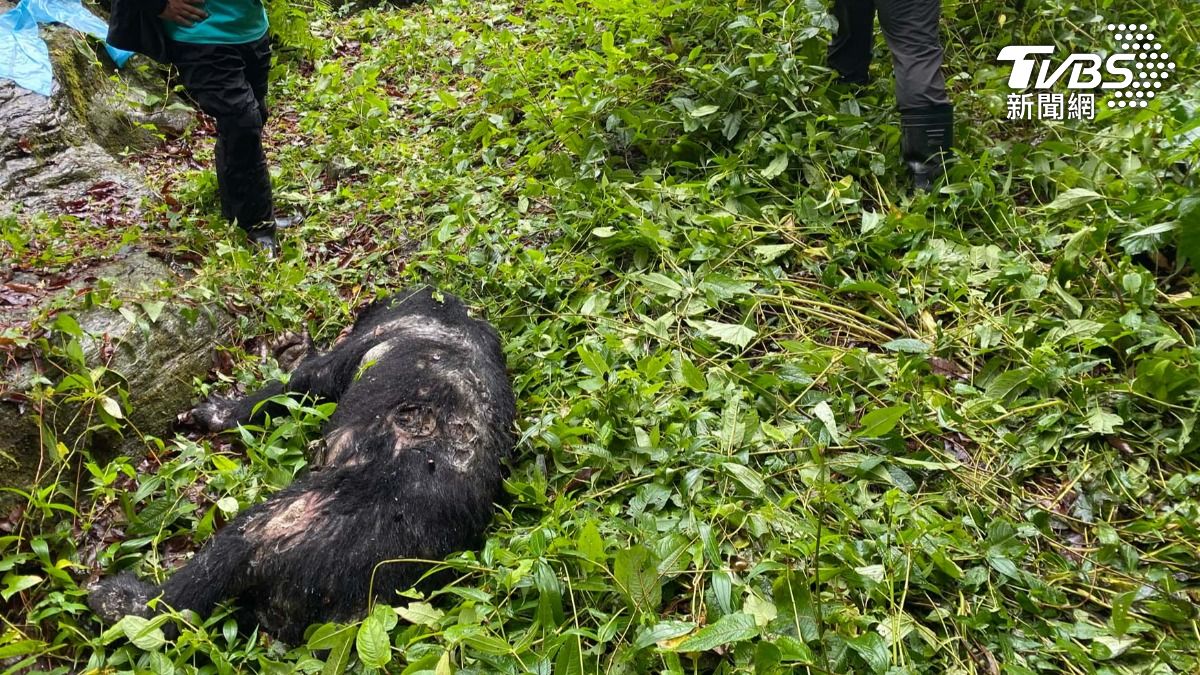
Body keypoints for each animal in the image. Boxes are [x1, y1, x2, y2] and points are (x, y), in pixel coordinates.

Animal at [88, 287, 516, 644]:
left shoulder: (333, 364)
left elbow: (280, 389)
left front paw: (216, 411)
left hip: (269, 526)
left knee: (175, 603)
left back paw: (116, 598)